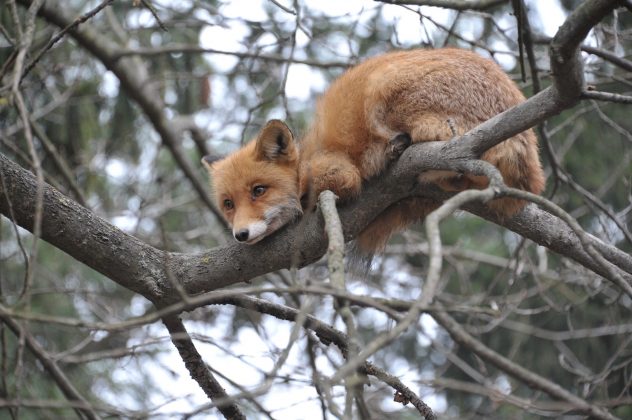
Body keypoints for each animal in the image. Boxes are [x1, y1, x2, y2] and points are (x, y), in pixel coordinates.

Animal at [202, 47, 544, 254]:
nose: (240, 234)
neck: (306, 162)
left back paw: (399, 146)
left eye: (259, 190)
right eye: (228, 204)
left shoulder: (336, 169)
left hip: (383, 86)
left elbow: (338, 183)